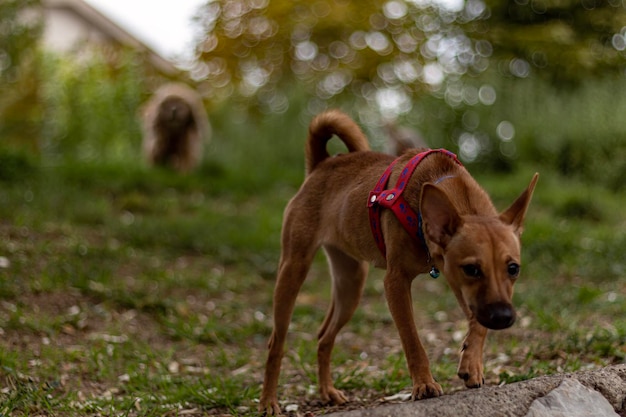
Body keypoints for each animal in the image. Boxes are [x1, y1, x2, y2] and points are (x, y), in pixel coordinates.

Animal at [258, 109, 536, 414]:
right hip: (293, 271)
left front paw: (471, 364)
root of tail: (322, 164)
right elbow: (412, 339)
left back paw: (327, 391)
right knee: (276, 343)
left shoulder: (459, 284)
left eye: (513, 269)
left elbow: (477, 323)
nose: (504, 317)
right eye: (472, 269)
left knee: (324, 337)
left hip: (350, 284)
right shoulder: (397, 282)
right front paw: (424, 384)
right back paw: (269, 401)